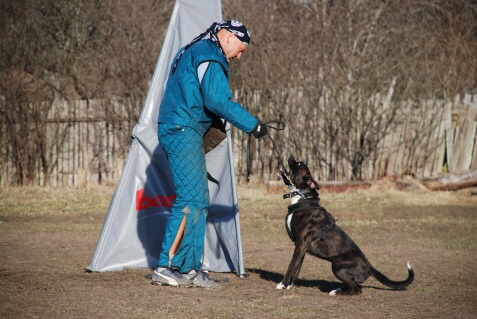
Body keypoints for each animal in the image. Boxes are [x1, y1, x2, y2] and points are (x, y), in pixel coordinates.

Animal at [276, 156, 412, 296]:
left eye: (298, 164)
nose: (291, 156)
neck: (302, 197)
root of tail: (369, 267)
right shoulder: (302, 246)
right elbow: (297, 266)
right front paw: (290, 285)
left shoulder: (301, 243)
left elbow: (291, 264)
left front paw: (283, 284)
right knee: (355, 286)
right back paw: (339, 289)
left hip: (338, 266)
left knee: (357, 289)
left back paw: (336, 292)